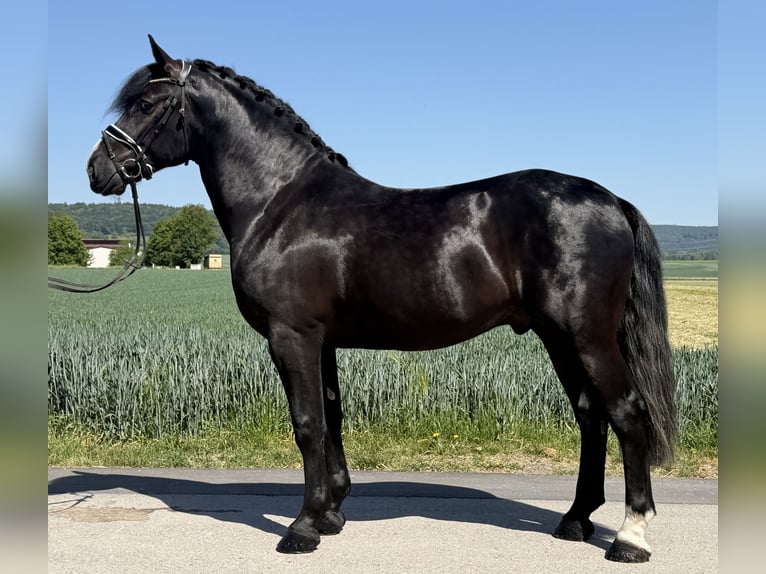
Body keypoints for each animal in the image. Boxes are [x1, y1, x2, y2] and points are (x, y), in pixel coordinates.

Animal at [86, 35, 676, 563]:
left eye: (145, 104)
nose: (97, 169)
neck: (281, 202)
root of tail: (611, 200)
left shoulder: (291, 337)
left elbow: (306, 425)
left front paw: (302, 528)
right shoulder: (321, 341)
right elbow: (331, 417)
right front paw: (330, 513)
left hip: (588, 337)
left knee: (627, 414)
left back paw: (630, 538)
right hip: (559, 337)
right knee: (590, 417)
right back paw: (575, 520)